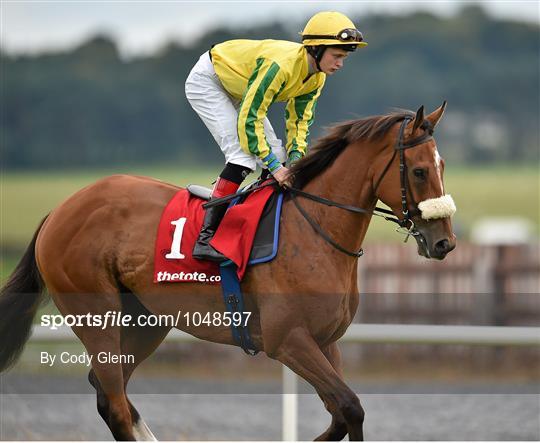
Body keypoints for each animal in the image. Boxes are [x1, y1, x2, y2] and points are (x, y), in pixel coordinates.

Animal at [0, 103, 456, 440]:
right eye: (419, 171)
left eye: (442, 165)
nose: (444, 242)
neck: (314, 230)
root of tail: (59, 210)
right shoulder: (288, 340)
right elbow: (350, 407)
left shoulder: (326, 341)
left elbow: (341, 414)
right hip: (96, 314)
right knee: (113, 402)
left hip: (146, 319)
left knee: (106, 389)